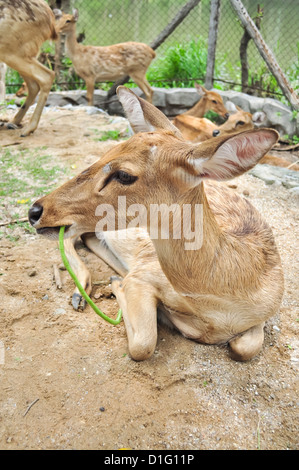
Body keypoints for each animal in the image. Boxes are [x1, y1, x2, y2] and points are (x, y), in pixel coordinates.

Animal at [0, 0, 57, 137]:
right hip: (22, 53)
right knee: (33, 85)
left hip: (12, 51)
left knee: (47, 76)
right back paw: (14, 122)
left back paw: (28, 129)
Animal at [29, 86, 284, 362]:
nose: (35, 211)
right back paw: (83, 292)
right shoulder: (144, 275)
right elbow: (144, 344)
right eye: (106, 153)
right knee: (70, 239)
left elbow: (245, 347)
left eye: (124, 174)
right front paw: (118, 286)